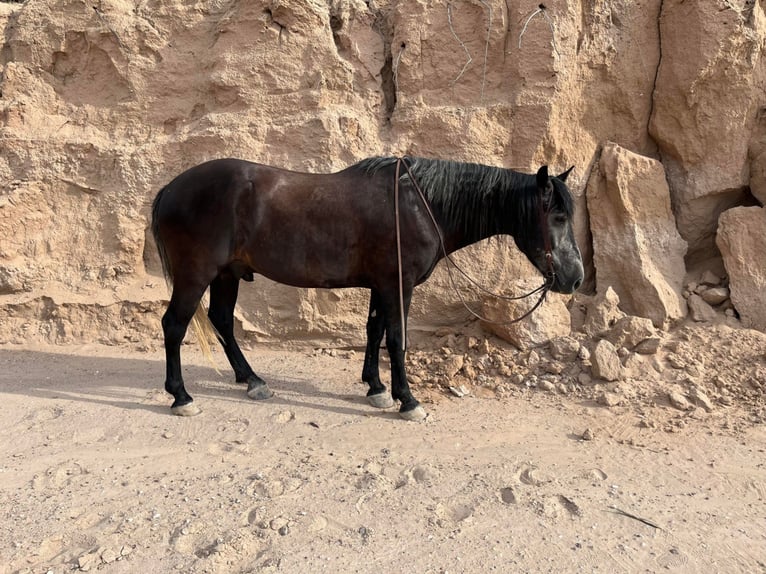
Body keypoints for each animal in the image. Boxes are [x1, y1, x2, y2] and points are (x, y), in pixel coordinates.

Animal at [150, 155, 584, 420]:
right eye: (558, 217)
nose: (576, 277)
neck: (421, 205)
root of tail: (169, 189)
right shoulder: (398, 285)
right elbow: (396, 339)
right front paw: (407, 400)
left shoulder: (382, 285)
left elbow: (374, 331)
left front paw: (376, 388)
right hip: (196, 275)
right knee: (174, 325)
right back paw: (181, 396)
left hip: (226, 274)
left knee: (222, 321)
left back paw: (252, 381)